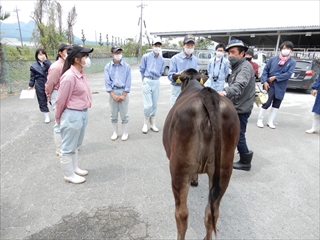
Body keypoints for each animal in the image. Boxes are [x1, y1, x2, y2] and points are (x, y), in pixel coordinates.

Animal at [162, 68, 240, 240]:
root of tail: (209, 95)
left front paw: (194, 180)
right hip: (224, 169)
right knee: (212, 212)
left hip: (179, 167)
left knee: (182, 214)